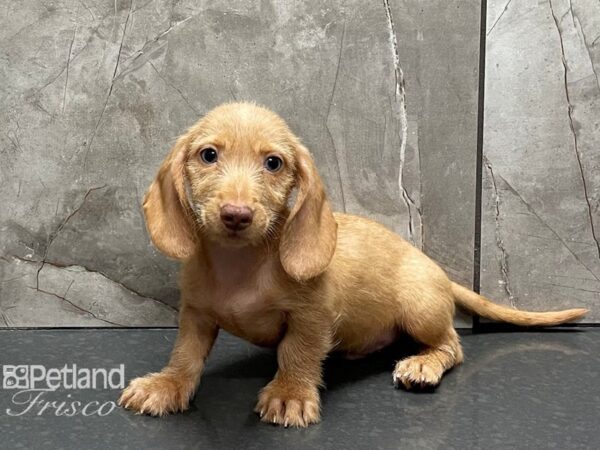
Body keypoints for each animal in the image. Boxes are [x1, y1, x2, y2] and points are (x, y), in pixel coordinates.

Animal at [119, 103, 588, 428]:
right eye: (208, 154)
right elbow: (186, 354)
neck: (244, 263)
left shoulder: (311, 317)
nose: (236, 215)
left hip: (420, 308)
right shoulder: (196, 314)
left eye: (273, 163)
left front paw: (290, 393)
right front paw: (167, 385)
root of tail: (436, 270)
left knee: (452, 345)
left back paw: (423, 364)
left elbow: (297, 352)